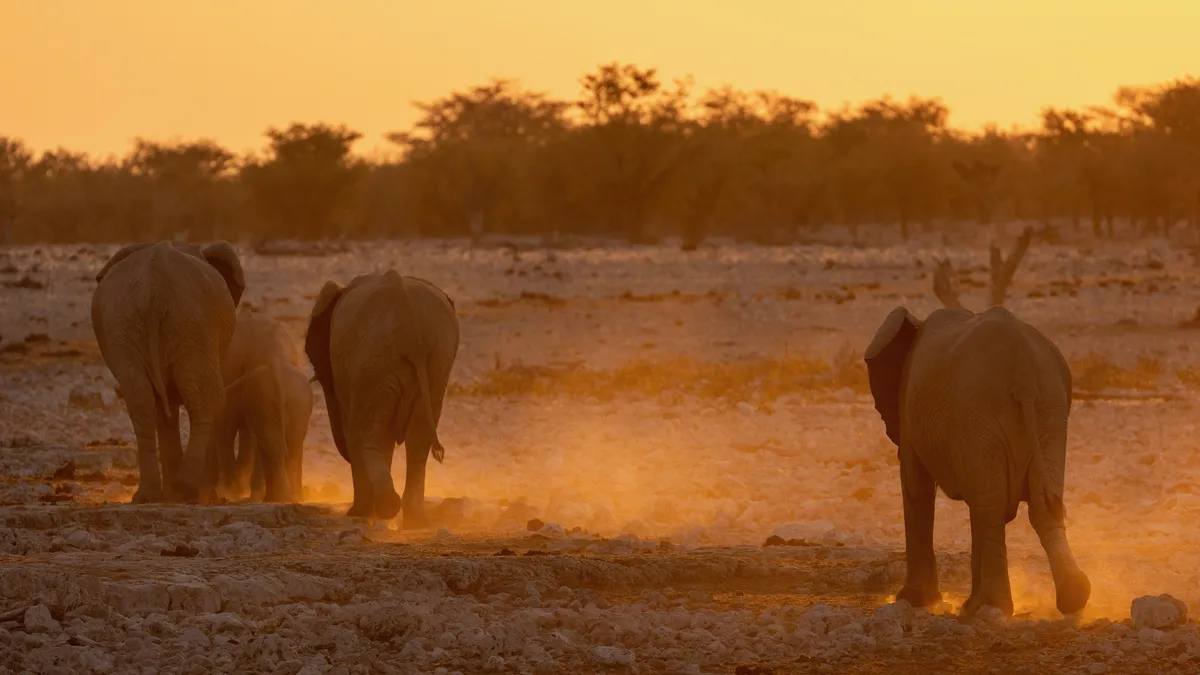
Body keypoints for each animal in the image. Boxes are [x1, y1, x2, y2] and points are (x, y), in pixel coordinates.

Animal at [91, 240, 245, 503]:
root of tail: (153, 292)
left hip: (128, 328)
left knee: (142, 402)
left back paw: (149, 496)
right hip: (192, 325)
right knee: (207, 400)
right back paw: (190, 490)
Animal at [221, 358, 313, 503]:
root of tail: (278, 379)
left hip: (267, 403)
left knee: (277, 448)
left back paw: (282, 497)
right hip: (290, 405)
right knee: (290, 448)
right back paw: (289, 498)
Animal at [305, 270, 459, 526]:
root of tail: (413, 333)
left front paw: (360, 514)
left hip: (375, 362)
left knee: (364, 434)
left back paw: (387, 507)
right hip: (435, 361)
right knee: (418, 438)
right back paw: (414, 519)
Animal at [864, 305, 1090, 618]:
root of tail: (1023, 373)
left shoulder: (909, 411)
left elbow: (916, 487)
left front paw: (912, 600)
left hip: (983, 411)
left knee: (989, 506)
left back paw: (989, 607)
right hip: (1049, 414)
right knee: (1028, 504)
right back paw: (1073, 598)